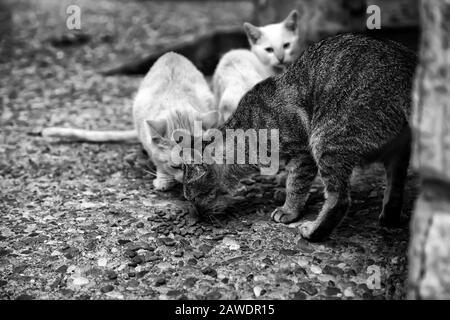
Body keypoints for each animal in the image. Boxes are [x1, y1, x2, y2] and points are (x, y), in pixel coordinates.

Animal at [43, 53, 219, 190]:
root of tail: (171, 53)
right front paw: (164, 179)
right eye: (175, 166)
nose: (186, 181)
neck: (177, 107)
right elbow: (158, 161)